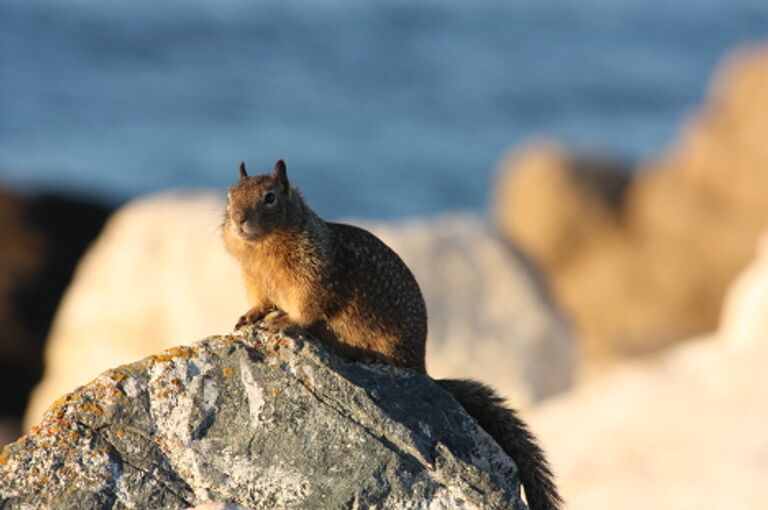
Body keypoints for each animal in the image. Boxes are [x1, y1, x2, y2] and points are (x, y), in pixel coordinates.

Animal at [222, 159, 564, 510]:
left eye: (270, 197)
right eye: (230, 195)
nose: (238, 219)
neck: (262, 252)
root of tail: (420, 366)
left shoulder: (314, 277)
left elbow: (308, 309)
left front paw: (284, 322)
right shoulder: (255, 281)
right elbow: (261, 301)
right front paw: (251, 315)